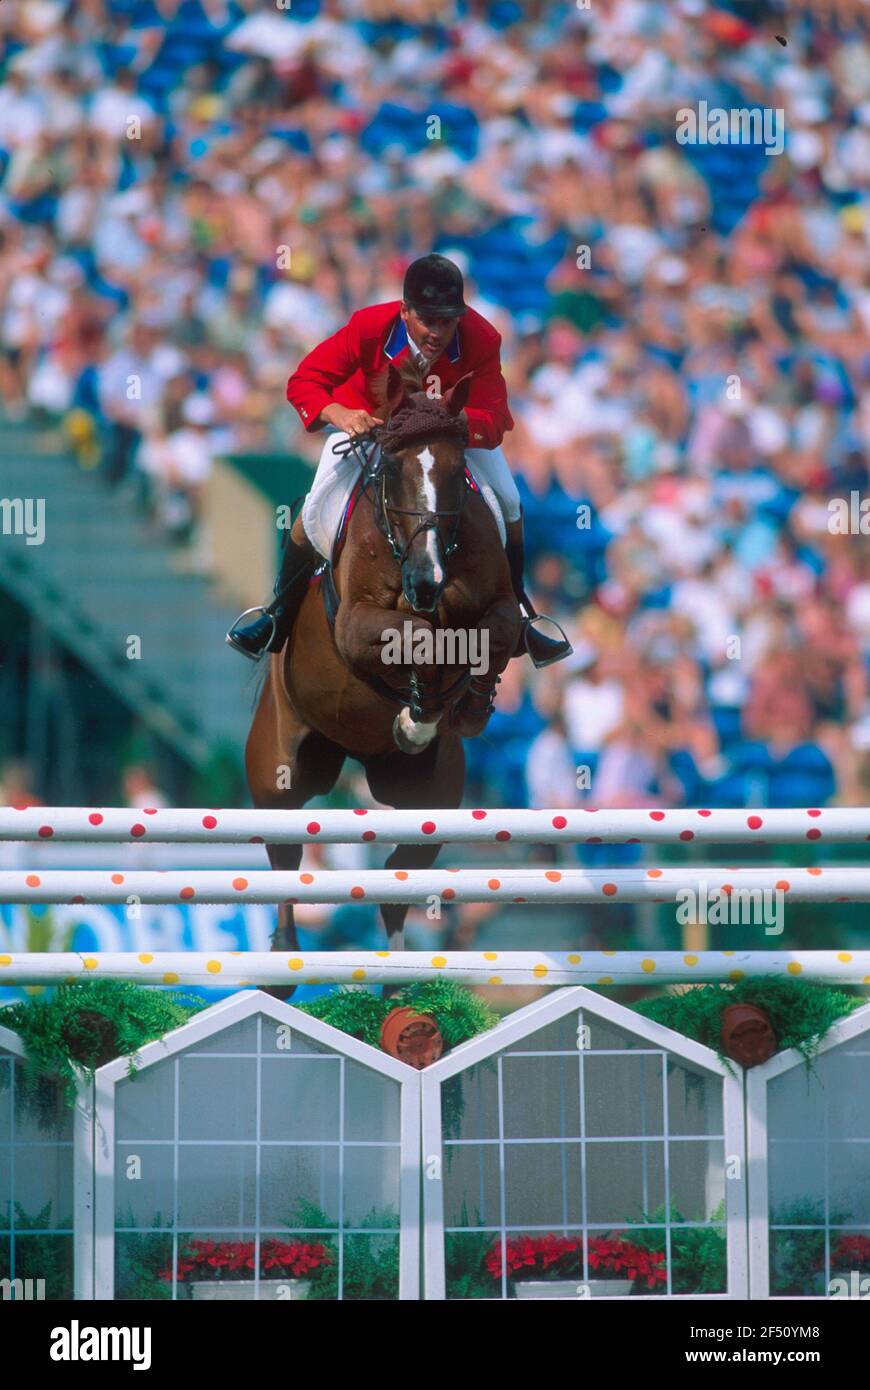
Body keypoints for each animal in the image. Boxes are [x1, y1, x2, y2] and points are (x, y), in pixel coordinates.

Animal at [240, 364, 516, 984]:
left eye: (457, 469)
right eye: (392, 468)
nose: (426, 579)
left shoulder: (498, 608)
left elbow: (490, 636)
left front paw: (458, 706)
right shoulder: (356, 625)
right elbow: (416, 636)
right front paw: (418, 711)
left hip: (430, 799)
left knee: (398, 877)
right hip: (280, 775)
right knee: (286, 857)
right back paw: (284, 957)